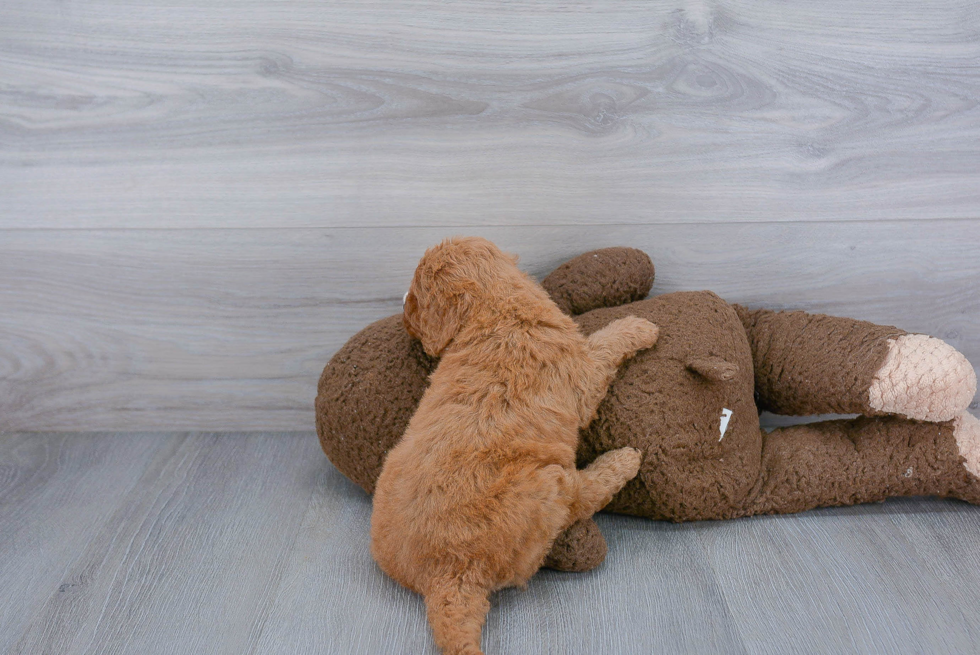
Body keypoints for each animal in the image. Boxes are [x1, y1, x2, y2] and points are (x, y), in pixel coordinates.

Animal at [372, 238, 664, 652]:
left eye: (413, 298)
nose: (404, 322)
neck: (496, 310)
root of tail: (444, 577)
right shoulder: (585, 375)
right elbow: (605, 345)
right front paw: (638, 326)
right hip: (547, 486)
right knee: (580, 498)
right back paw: (622, 461)